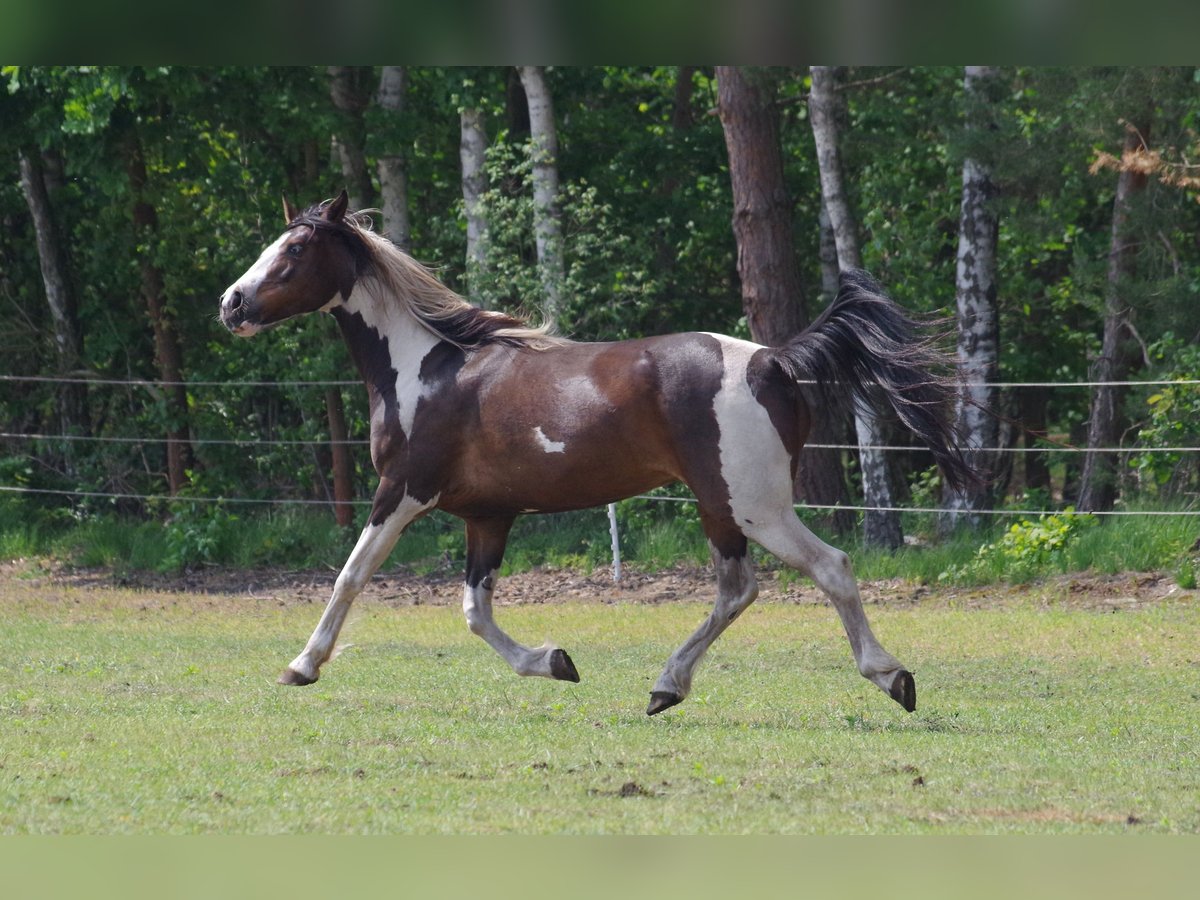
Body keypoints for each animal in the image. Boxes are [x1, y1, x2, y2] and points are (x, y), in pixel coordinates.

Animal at [220, 192, 974, 720]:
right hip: (721, 506)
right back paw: (665, 688)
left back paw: (892, 677)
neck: (427, 370)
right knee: (737, 589)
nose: (231, 303)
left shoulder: (402, 491)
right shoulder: (487, 517)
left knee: (831, 568)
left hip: (756, 506)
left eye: (293, 250)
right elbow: (474, 611)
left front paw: (301, 666)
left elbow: (350, 576)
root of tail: (773, 360)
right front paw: (555, 661)